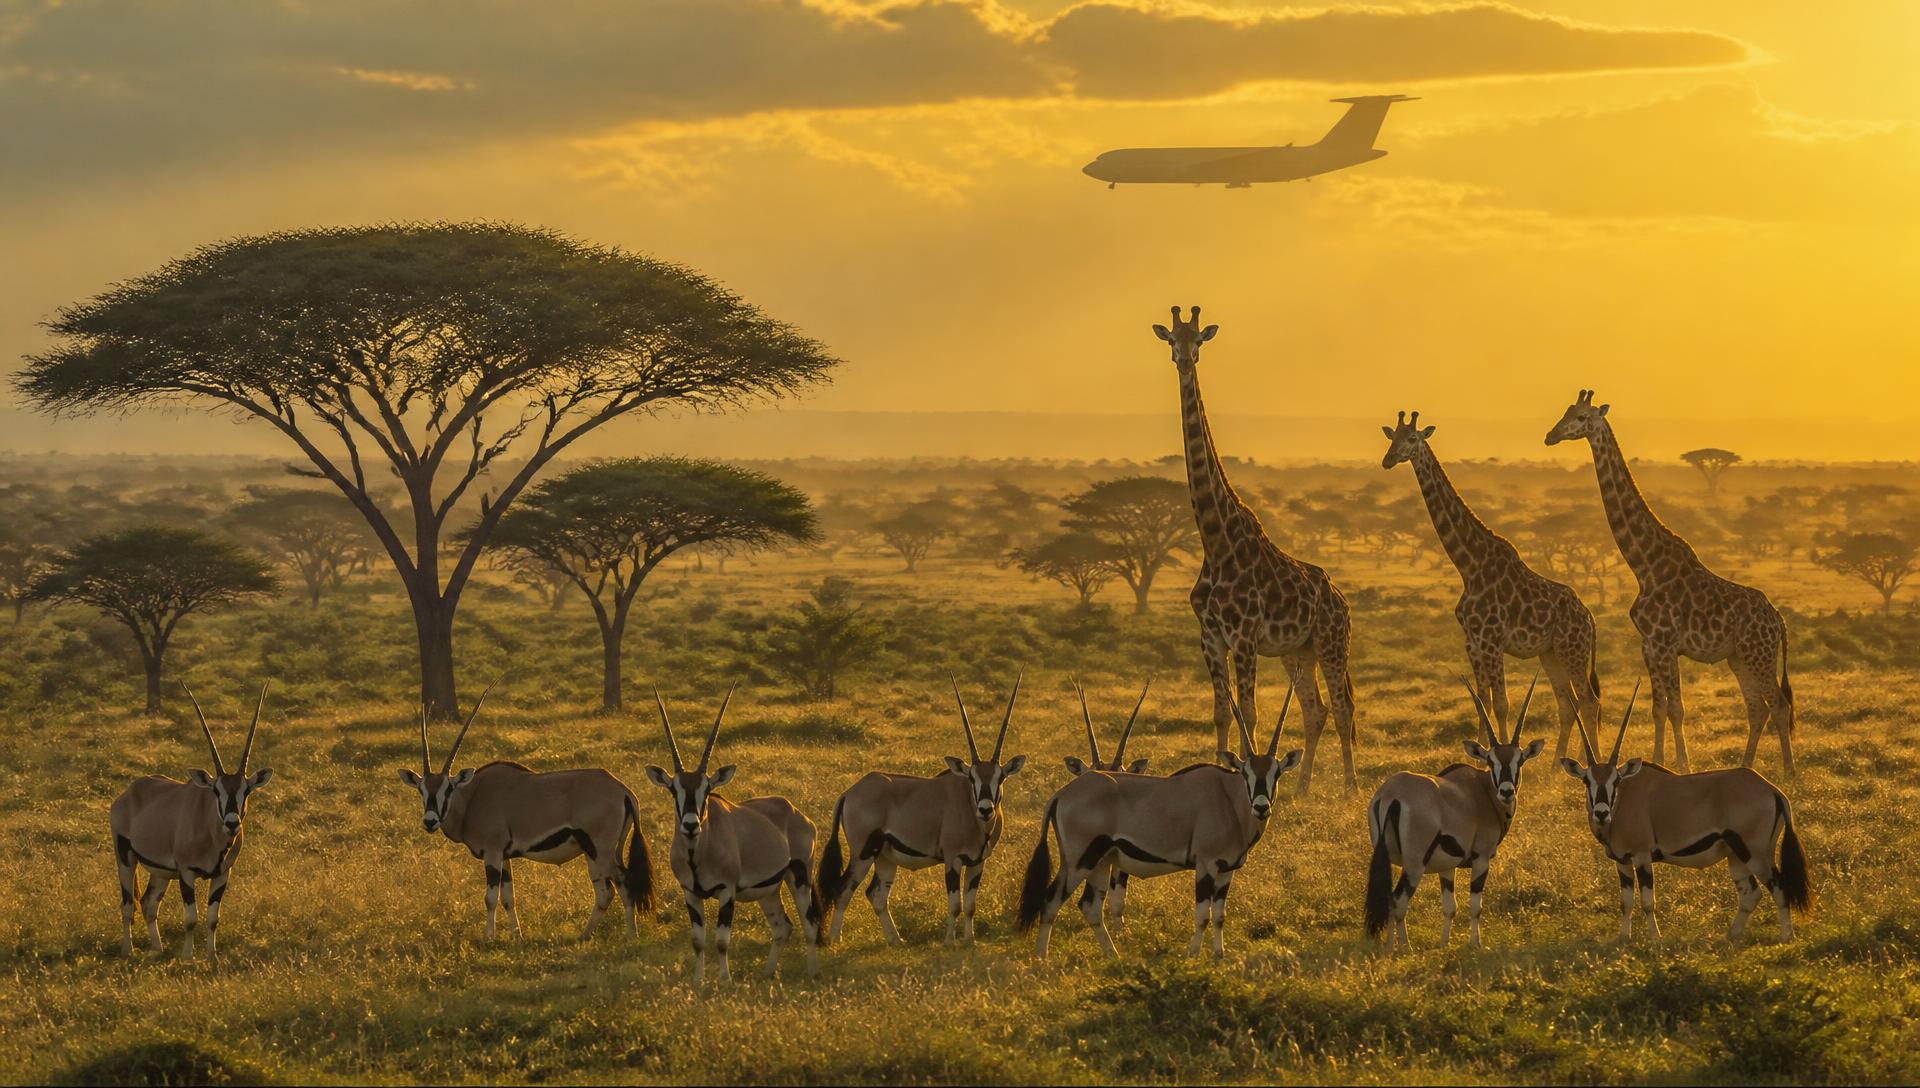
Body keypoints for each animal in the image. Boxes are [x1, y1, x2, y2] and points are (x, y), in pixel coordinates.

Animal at [1154, 305, 1356, 795]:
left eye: (1198, 340)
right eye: (1171, 338)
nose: (1184, 360)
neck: (1215, 541)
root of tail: (1341, 599)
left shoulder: (1244, 637)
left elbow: (1249, 712)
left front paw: (1250, 775)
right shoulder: (1210, 637)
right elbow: (1221, 712)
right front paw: (1220, 772)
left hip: (1331, 641)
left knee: (1342, 708)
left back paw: (1350, 786)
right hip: (1296, 651)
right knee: (1316, 708)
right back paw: (1302, 788)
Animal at [1381, 410, 1601, 759]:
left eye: (1412, 438)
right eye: (1392, 438)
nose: (1388, 460)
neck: (1469, 565)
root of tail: (1590, 618)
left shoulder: (1492, 640)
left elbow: (1501, 703)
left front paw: (1504, 753)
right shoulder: (1472, 642)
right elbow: (1482, 701)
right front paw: (1481, 754)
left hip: (1573, 649)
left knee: (1590, 703)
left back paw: (1592, 760)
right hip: (1550, 653)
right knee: (1569, 704)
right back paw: (1557, 764)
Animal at [1545, 389, 1794, 775]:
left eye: (1583, 418)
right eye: (1566, 412)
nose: (1551, 435)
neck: (1644, 565)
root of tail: (1778, 621)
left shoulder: (1666, 643)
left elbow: (1676, 708)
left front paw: (1682, 765)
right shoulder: (1649, 645)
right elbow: (1658, 708)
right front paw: (1658, 761)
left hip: (1759, 654)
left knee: (1779, 706)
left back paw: (1789, 772)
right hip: (1739, 657)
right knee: (1758, 708)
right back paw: (1746, 766)